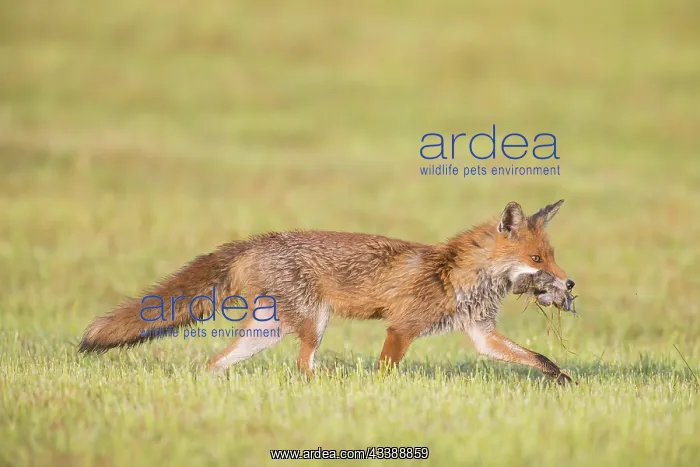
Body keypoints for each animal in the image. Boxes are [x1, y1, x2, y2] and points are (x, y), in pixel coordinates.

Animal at [79, 200, 577, 384]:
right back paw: (329, 383)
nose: (569, 284)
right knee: (303, 365)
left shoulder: (480, 333)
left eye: (551, 257)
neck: (457, 274)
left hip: (268, 332)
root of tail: (256, 240)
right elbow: (386, 370)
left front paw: (565, 382)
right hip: (313, 323)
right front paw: (380, 394)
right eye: (537, 260)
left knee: (215, 361)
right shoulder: (402, 327)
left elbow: (536, 357)